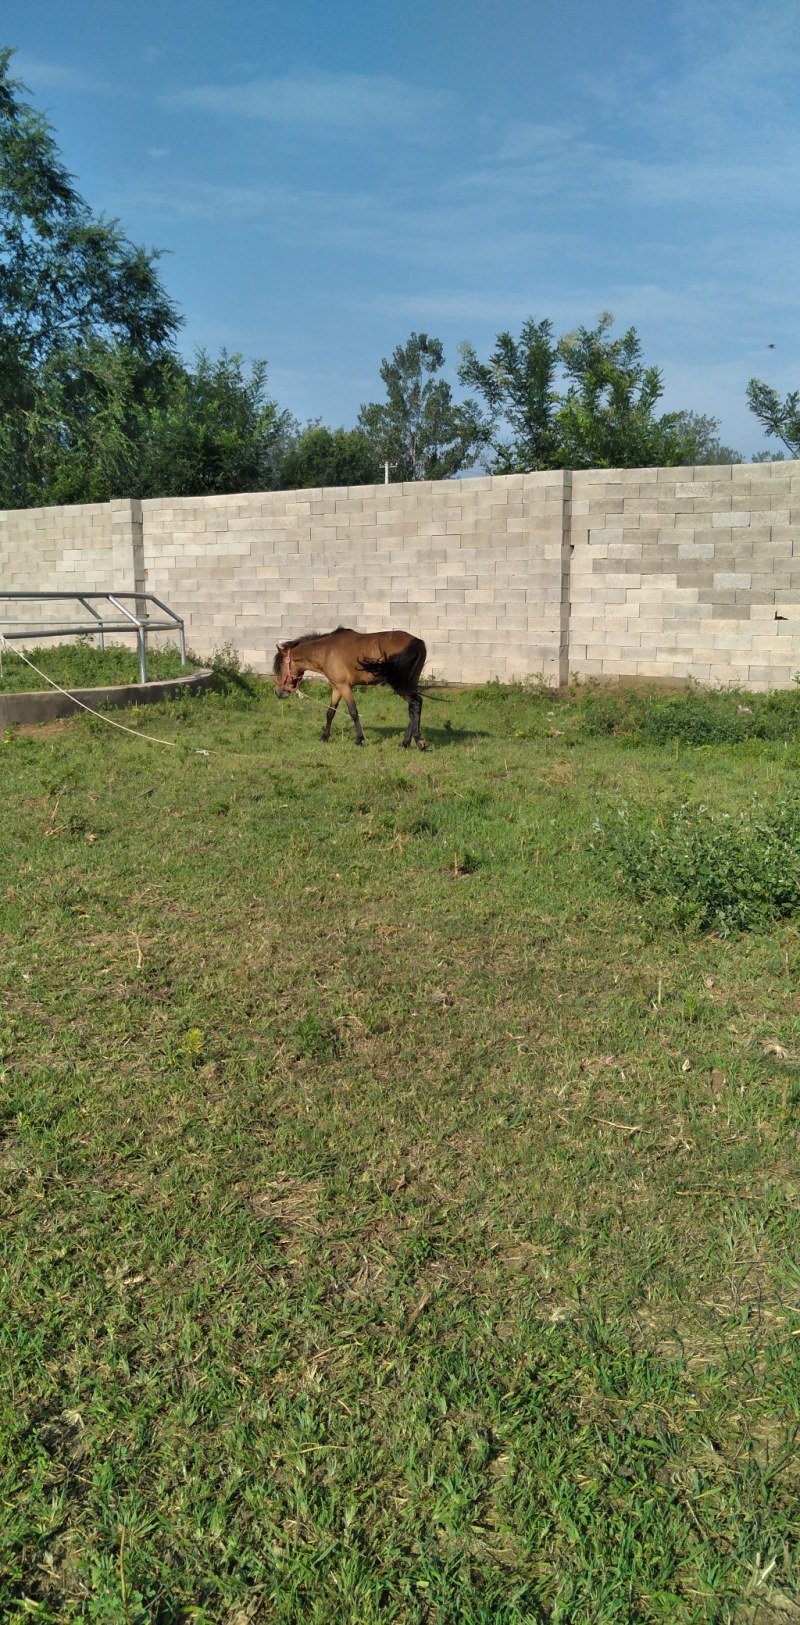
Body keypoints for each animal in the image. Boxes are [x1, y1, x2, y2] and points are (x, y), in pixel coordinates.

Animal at [273, 626, 427, 748]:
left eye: (279, 668)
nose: (278, 692)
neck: (327, 650)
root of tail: (418, 642)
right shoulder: (336, 688)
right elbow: (330, 712)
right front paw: (324, 737)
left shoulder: (345, 687)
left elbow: (353, 712)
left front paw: (359, 739)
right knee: (412, 709)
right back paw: (405, 743)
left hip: (400, 685)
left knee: (416, 703)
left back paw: (418, 740)